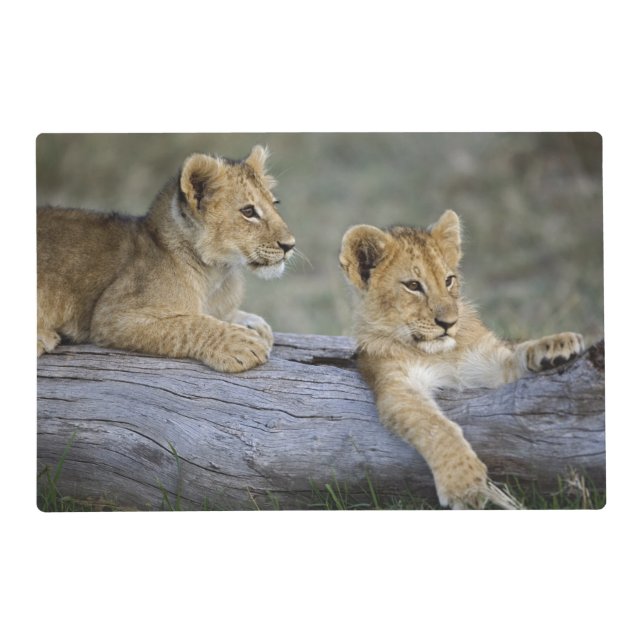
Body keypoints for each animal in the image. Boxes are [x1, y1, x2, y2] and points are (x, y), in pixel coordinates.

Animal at [37, 145, 295, 373]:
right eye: (249, 212)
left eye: (275, 204)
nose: (290, 245)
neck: (217, 274)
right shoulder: (111, 316)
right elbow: (188, 324)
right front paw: (240, 343)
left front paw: (253, 323)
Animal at [339, 210, 584, 509]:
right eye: (413, 286)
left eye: (449, 280)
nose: (449, 323)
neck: (440, 353)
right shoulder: (396, 384)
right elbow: (435, 426)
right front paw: (464, 485)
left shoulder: (483, 361)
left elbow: (514, 354)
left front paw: (556, 345)